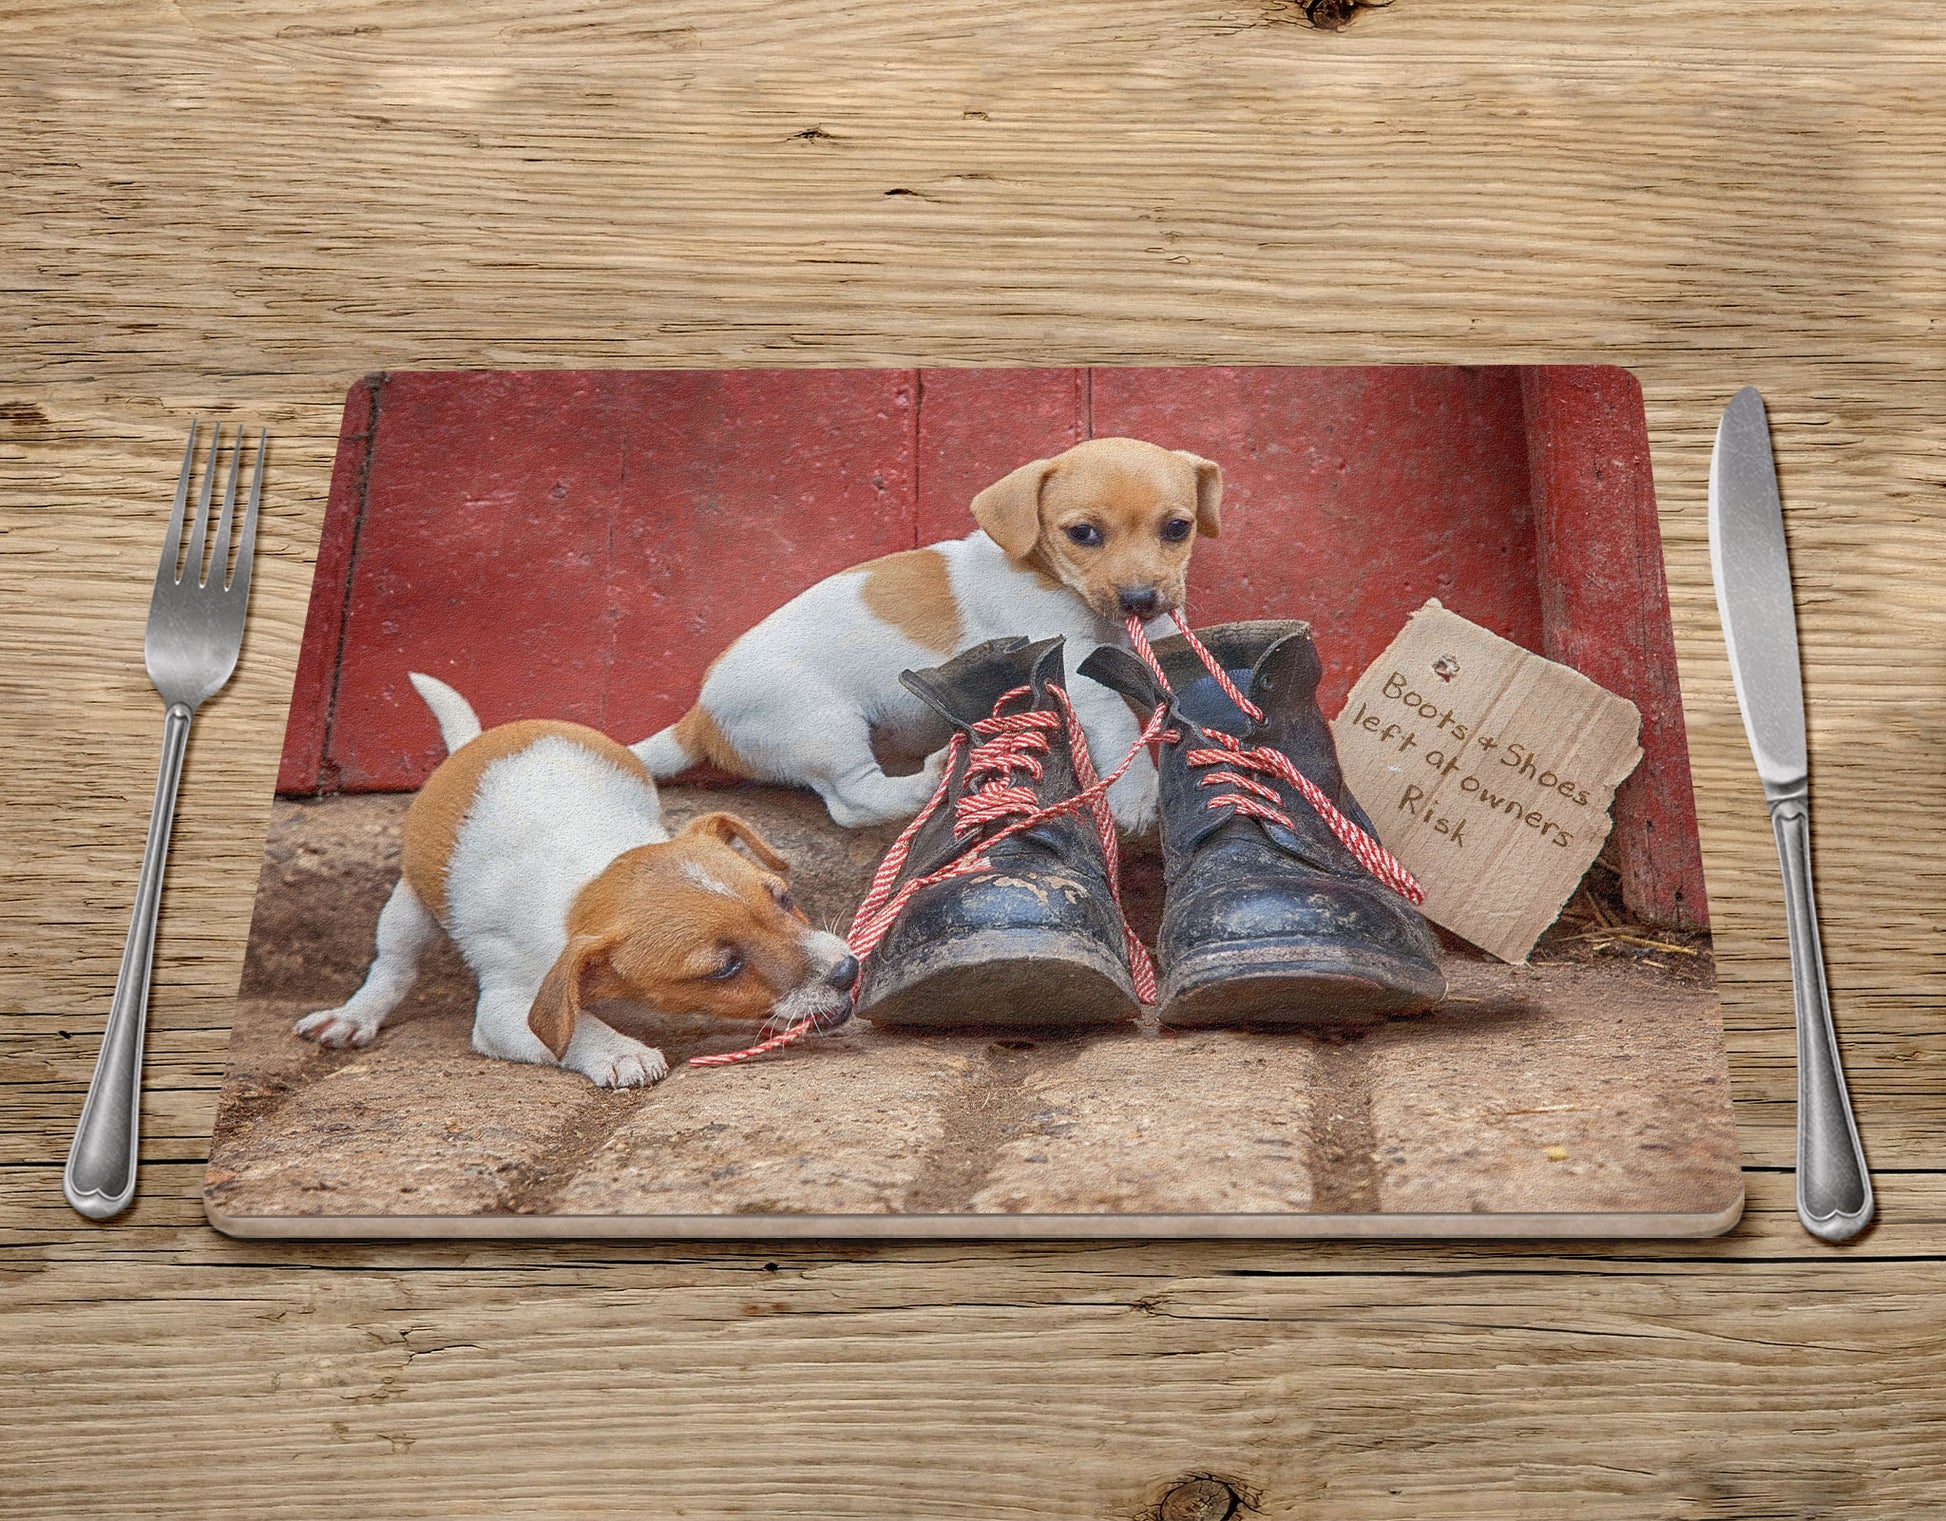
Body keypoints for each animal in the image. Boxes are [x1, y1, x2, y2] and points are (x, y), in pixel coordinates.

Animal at [291, 672, 856, 1089]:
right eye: (724, 969)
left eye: (784, 898)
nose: (847, 971)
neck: (592, 867)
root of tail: (474, 743)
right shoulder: (507, 1006)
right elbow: (573, 1028)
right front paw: (621, 1052)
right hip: (408, 906)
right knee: (392, 967)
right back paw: (354, 1016)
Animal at [634, 435, 1214, 828]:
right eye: (1083, 533)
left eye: (1177, 529)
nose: (1140, 599)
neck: (1050, 578)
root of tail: (699, 717)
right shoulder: (1069, 665)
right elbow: (1118, 720)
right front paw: (1136, 795)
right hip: (821, 726)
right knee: (852, 800)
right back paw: (929, 779)